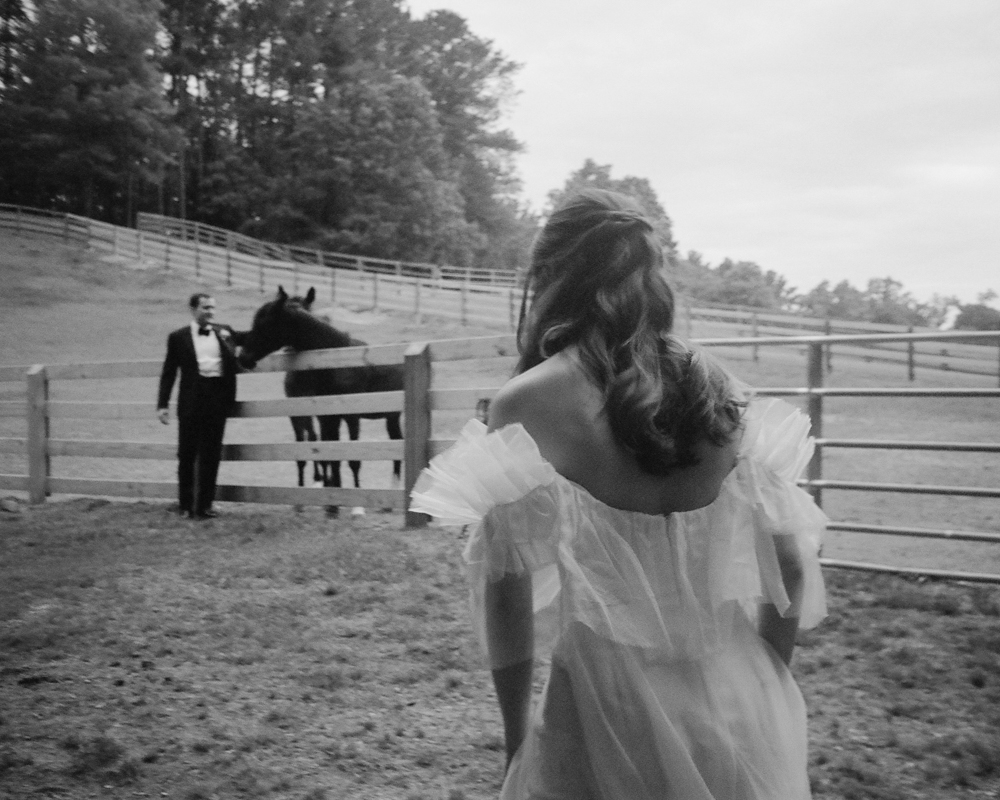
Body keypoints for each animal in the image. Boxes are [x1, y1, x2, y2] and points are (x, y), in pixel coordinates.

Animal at [238, 288, 402, 520]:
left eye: (265, 323)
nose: (244, 358)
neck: (337, 360)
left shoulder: (351, 416)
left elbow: (353, 459)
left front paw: (357, 508)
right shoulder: (327, 416)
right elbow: (330, 455)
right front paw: (332, 505)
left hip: (393, 415)